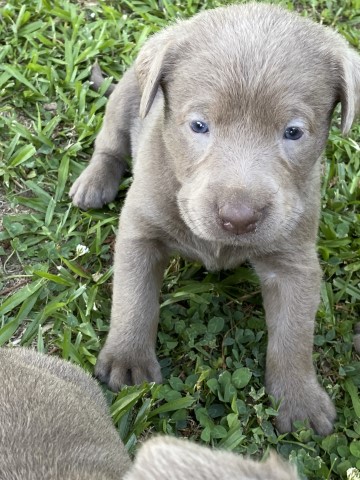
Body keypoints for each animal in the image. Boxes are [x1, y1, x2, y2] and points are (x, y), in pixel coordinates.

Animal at [69, 1, 360, 436]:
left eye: (293, 132)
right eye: (198, 125)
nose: (239, 218)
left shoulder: (294, 260)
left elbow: (294, 333)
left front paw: (299, 399)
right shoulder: (140, 231)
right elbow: (133, 297)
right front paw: (128, 359)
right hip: (124, 99)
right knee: (110, 143)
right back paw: (93, 182)